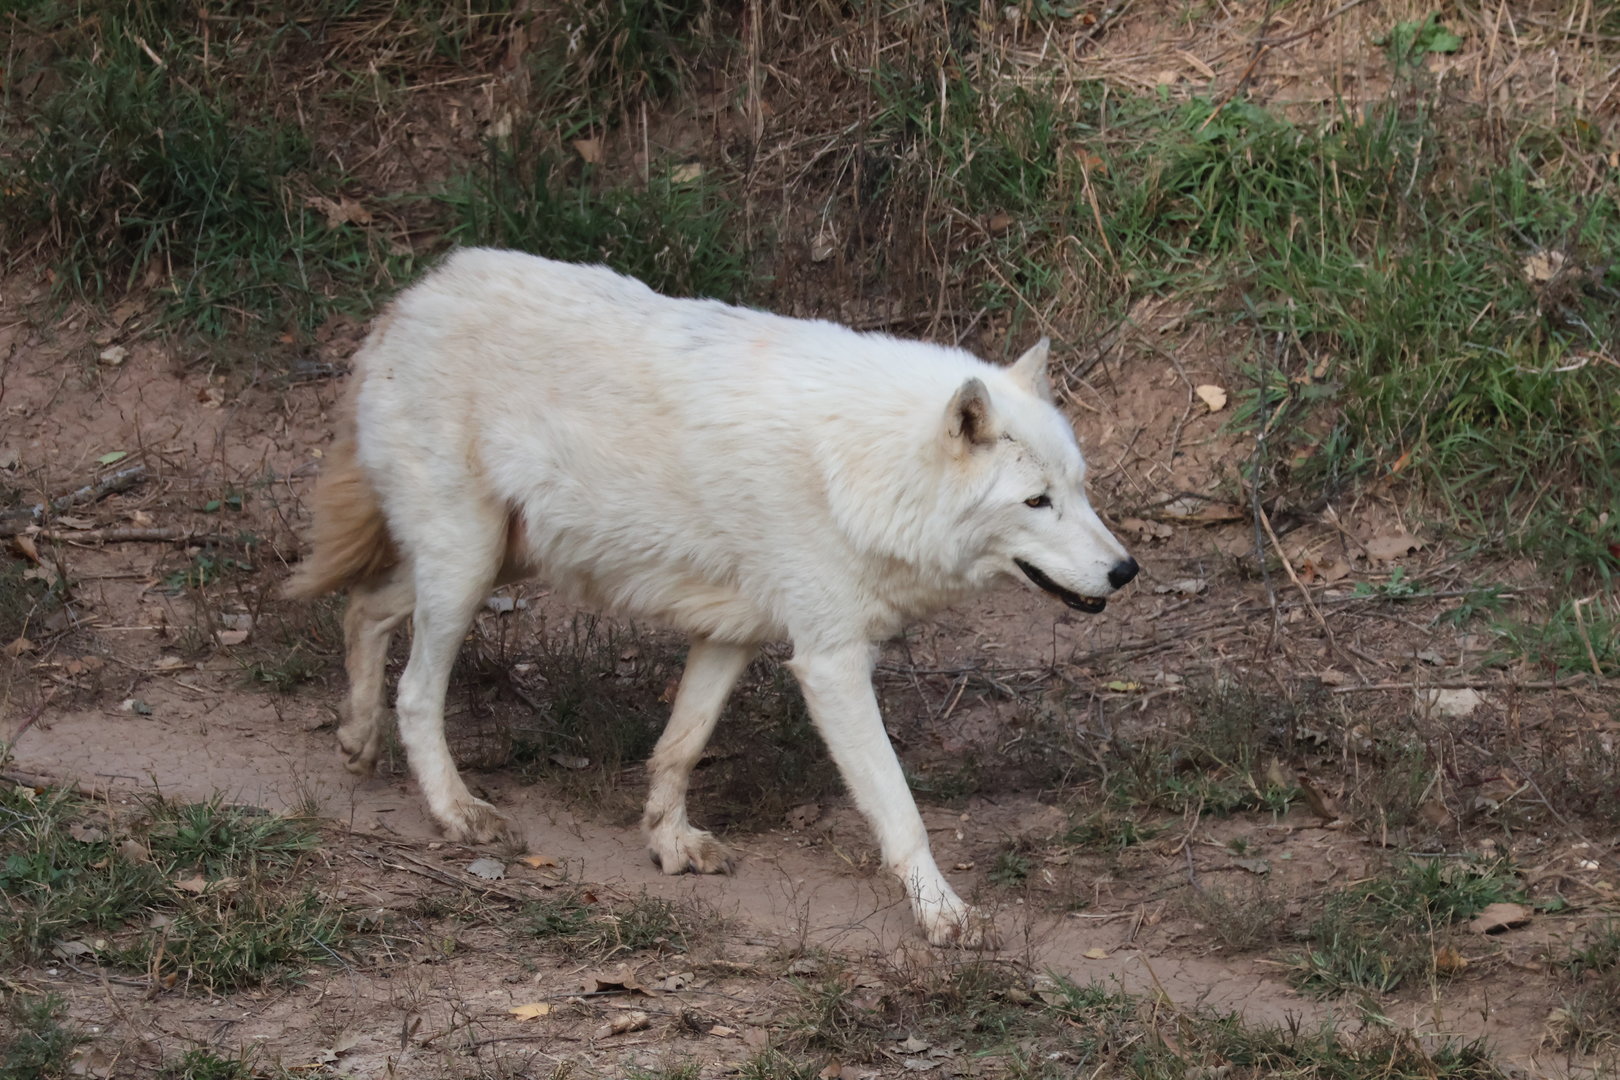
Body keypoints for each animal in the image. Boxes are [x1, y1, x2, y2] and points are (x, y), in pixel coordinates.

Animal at [287, 249, 1137, 946]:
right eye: (1035, 502)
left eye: (1081, 488)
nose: (1126, 571)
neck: (869, 465)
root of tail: (412, 297)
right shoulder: (830, 664)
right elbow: (901, 811)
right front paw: (942, 915)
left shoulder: (736, 632)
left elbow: (680, 745)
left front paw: (668, 843)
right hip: (467, 567)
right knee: (414, 691)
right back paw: (456, 812)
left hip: (490, 560)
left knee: (363, 607)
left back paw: (355, 739)